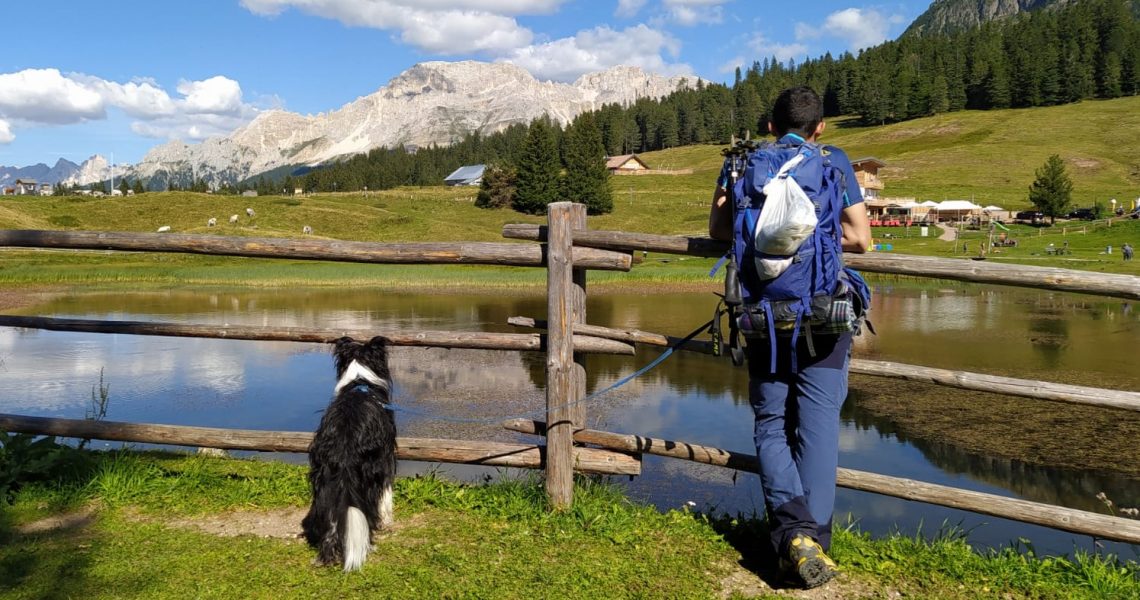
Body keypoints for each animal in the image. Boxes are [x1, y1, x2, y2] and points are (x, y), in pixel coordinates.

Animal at [303, 335, 396, 572]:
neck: (360, 381)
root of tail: (344, 444)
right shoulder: (386, 458)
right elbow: (386, 495)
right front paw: (387, 521)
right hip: (369, 471)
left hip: (324, 477)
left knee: (329, 518)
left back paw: (327, 556)